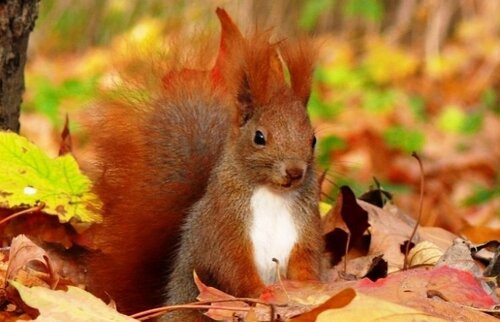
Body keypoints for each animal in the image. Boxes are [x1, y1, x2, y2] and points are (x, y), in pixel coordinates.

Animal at [84, 7, 322, 320]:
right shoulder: (224, 227)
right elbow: (233, 268)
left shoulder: (305, 229)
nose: (295, 172)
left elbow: (307, 262)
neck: (273, 194)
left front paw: (312, 291)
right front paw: (262, 294)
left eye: (313, 139)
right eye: (259, 137)